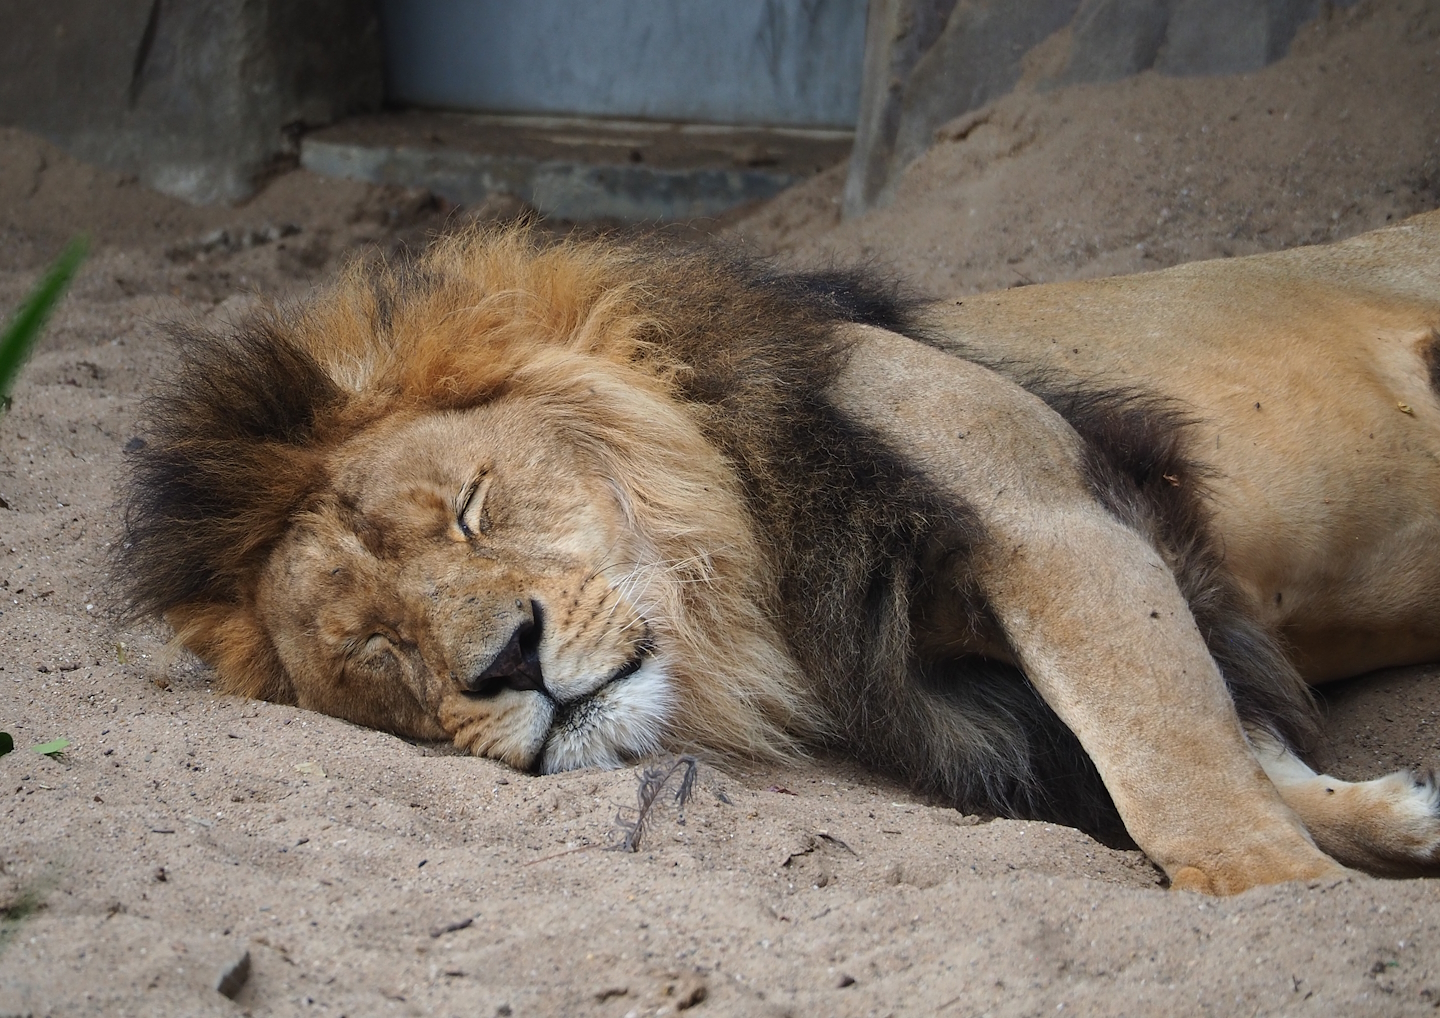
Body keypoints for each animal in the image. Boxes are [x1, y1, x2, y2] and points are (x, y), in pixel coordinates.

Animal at [122, 211, 1440, 895]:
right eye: (377, 650)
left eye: (472, 508)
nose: (508, 662)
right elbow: (1228, 742)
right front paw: (1394, 817)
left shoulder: (1047, 515)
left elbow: (1170, 760)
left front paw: (1293, 901)